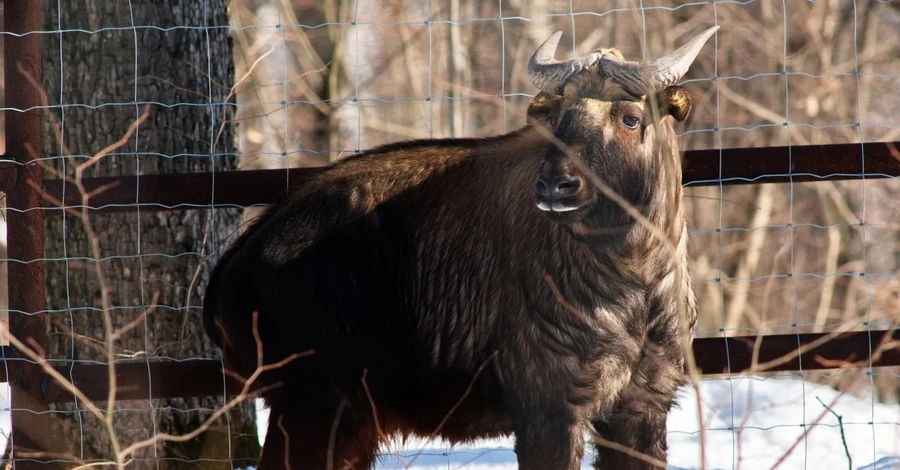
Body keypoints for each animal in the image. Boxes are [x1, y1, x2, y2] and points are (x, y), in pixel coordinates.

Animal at [202, 26, 716, 470]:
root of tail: (238, 260)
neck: (636, 280)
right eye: (557, 119)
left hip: (348, 423)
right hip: (313, 409)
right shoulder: (550, 409)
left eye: (630, 118)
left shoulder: (643, 406)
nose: (555, 186)